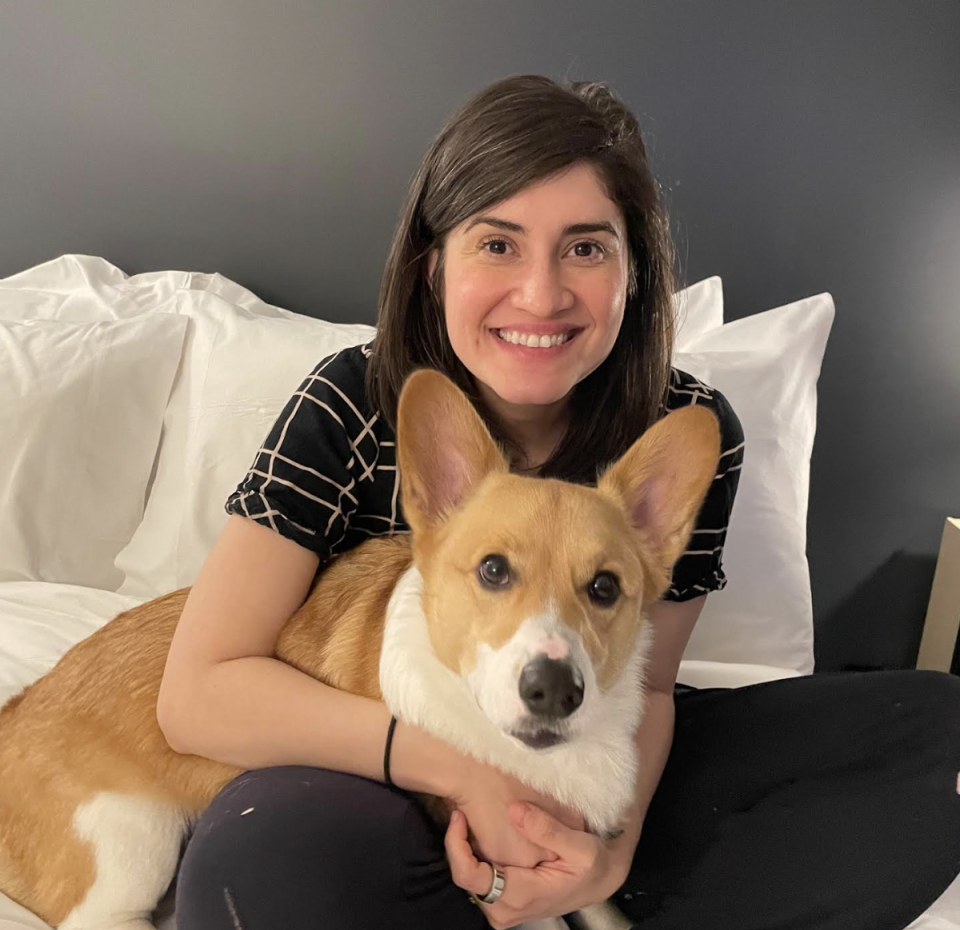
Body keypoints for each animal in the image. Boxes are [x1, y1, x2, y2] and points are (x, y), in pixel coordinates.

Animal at [0, 370, 720, 928]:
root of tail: (16, 709)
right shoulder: (513, 888)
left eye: (605, 587)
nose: (553, 690)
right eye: (492, 571)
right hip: (129, 842)